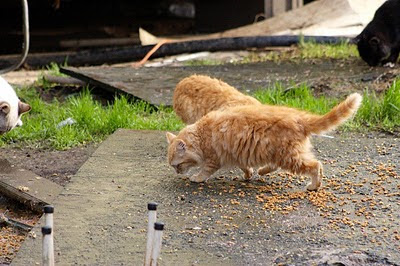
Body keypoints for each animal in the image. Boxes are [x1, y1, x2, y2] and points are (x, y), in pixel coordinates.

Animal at [166, 92, 362, 190]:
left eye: (177, 165)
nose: (177, 173)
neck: (201, 134)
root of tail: (299, 118)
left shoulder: (214, 158)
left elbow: (205, 171)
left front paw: (196, 178)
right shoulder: (236, 154)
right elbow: (244, 167)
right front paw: (248, 174)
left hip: (290, 157)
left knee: (316, 165)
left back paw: (314, 186)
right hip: (279, 154)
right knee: (276, 166)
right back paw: (262, 171)